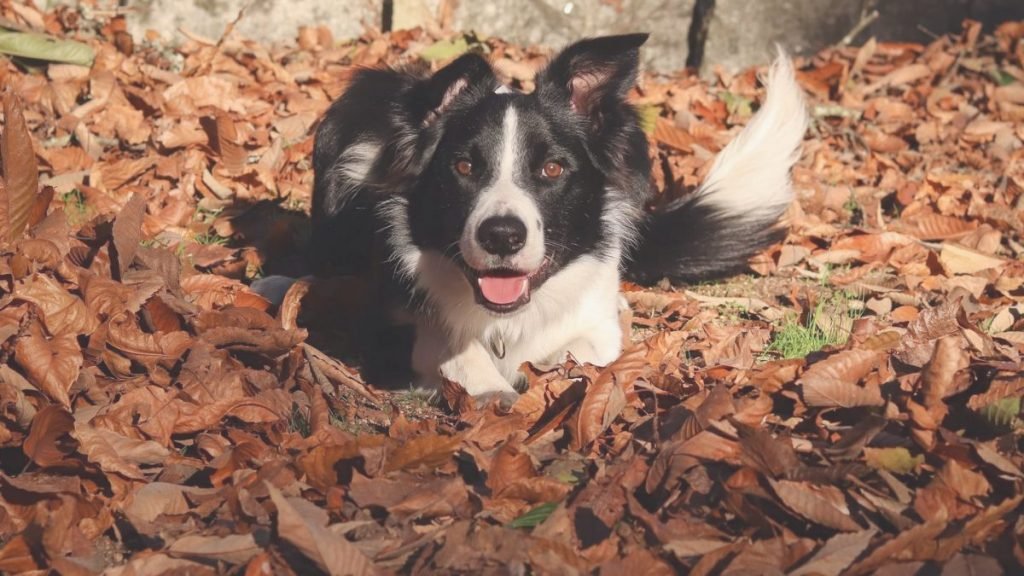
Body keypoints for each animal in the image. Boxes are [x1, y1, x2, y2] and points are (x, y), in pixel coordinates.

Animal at [264, 33, 806, 403]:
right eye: (463, 167)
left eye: (552, 168)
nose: (502, 237)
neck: (507, 323)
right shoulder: (397, 319)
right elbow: (448, 349)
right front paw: (492, 392)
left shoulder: (592, 327)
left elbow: (582, 350)